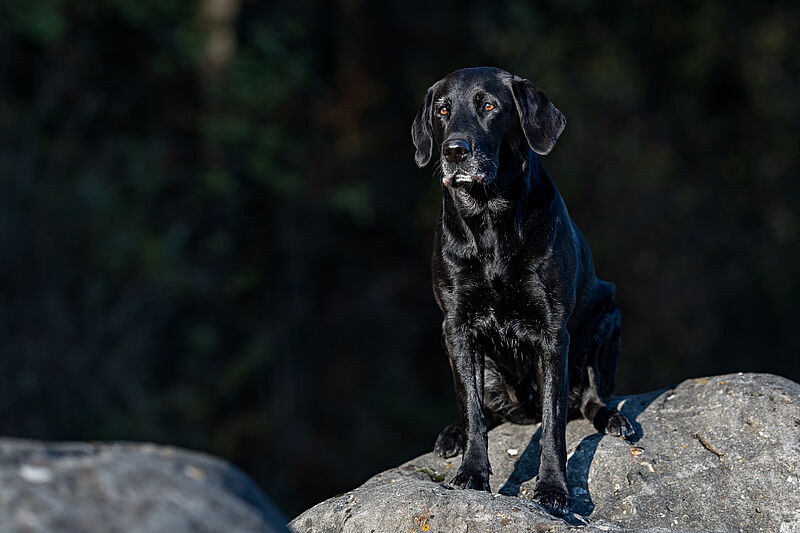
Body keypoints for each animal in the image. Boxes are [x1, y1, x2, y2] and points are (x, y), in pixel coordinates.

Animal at [412, 65, 632, 512]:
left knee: (592, 397)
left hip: (607, 309)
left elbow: (553, 425)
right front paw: (472, 473)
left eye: (489, 107)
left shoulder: (553, 334)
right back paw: (451, 434)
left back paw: (614, 419)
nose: (454, 151)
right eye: (442, 110)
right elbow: (473, 411)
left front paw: (553, 488)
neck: (490, 221)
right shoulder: (457, 327)